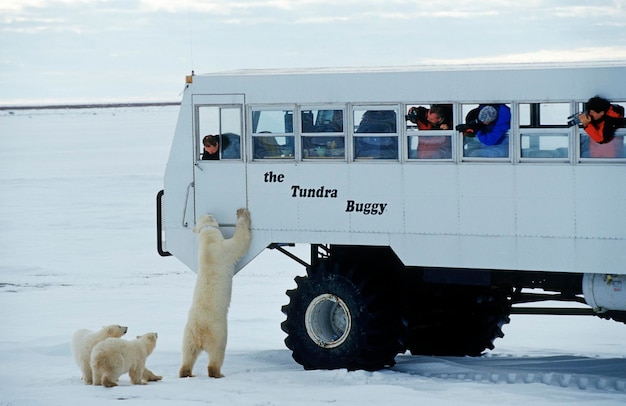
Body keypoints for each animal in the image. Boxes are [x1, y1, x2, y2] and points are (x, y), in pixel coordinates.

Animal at [178, 208, 251, 380]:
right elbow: (239, 243)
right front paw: (241, 213)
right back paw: (217, 373)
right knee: (217, 352)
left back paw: (186, 372)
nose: (209, 212)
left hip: (188, 334)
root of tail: (200, 333)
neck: (207, 243)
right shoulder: (222, 251)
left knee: (188, 352)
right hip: (218, 332)